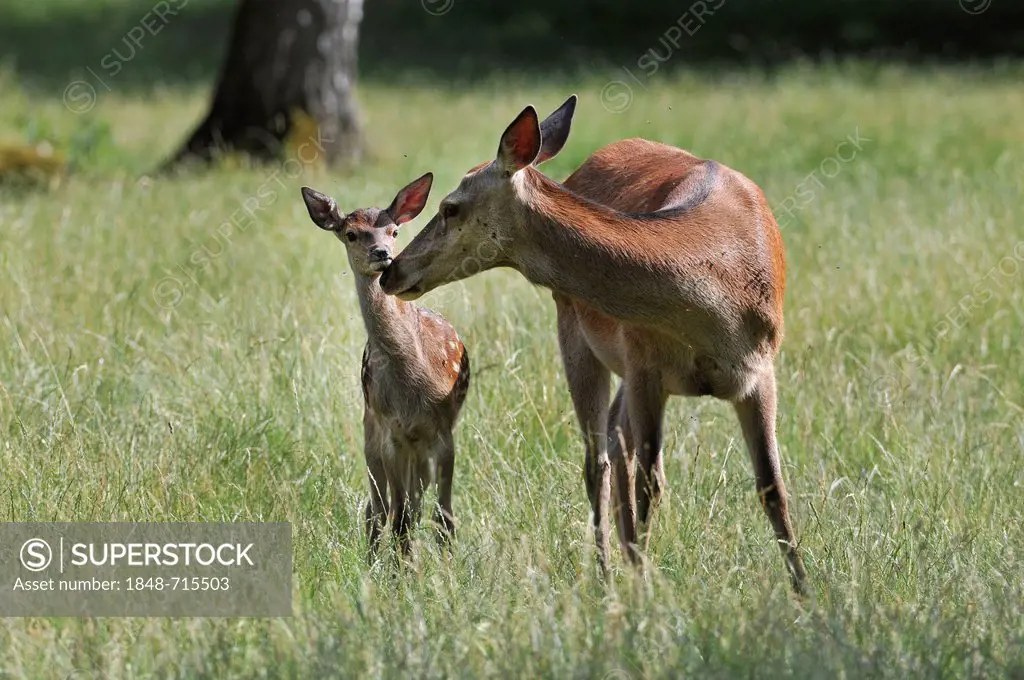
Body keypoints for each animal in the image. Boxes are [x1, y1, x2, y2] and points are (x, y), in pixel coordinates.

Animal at [378, 95, 806, 593]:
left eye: (450, 207)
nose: (392, 270)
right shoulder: (644, 364)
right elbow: (650, 480)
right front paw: (644, 585)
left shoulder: (759, 370)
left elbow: (771, 485)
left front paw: (804, 589)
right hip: (574, 327)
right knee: (598, 461)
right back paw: (606, 570)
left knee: (616, 447)